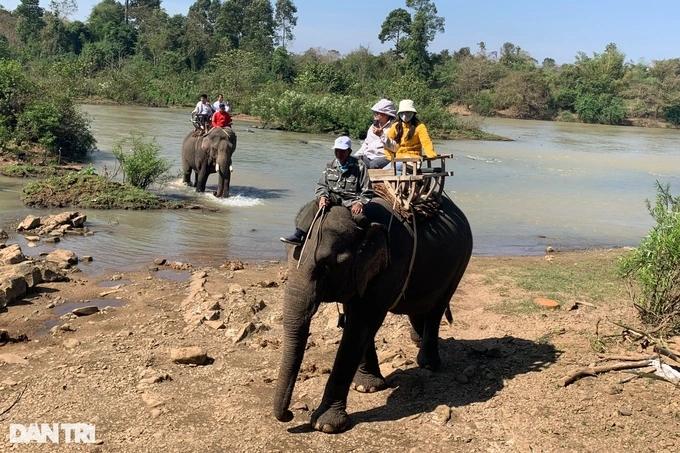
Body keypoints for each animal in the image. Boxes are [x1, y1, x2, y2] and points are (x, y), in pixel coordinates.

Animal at [270, 194, 472, 430]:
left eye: (327, 267)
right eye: (287, 256)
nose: (290, 414)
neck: (363, 223)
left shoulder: (391, 265)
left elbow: (361, 323)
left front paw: (325, 425)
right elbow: (356, 318)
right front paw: (367, 387)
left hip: (460, 263)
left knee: (436, 310)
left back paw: (429, 364)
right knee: (418, 309)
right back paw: (417, 340)